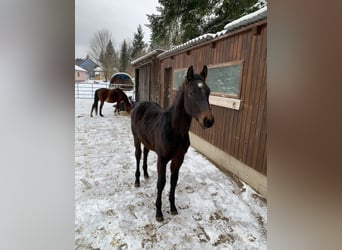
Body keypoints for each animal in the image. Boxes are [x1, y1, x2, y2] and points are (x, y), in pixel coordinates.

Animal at [131, 65, 214, 221]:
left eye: (209, 92)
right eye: (191, 93)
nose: (208, 120)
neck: (175, 130)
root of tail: (139, 104)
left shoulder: (178, 158)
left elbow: (174, 181)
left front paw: (173, 207)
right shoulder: (162, 159)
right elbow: (161, 183)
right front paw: (159, 212)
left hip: (147, 141)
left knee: (145, 153)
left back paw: (146, 174)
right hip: (136, 138)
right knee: (138, 155)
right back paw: (137, 180)